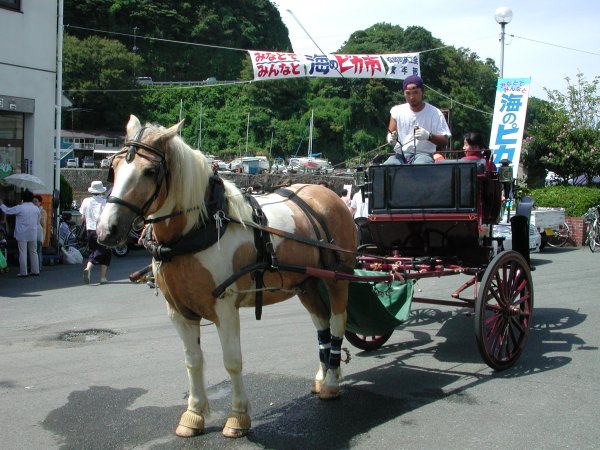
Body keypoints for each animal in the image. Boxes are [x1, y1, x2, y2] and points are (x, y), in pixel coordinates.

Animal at [95, 116, 356, 440]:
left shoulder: (225, 307)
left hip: (337, 278)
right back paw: (322, 376)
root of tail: (327, 193)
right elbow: (193, 362)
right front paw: (194, 414)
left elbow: (232, 362)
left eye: (150, 171)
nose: (107, 230)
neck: (198, 229)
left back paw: (331, 382)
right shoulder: (178, 312)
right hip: (306, 284)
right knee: (321, 326)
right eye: (114, 167)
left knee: (337, 323)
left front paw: (238, 417)